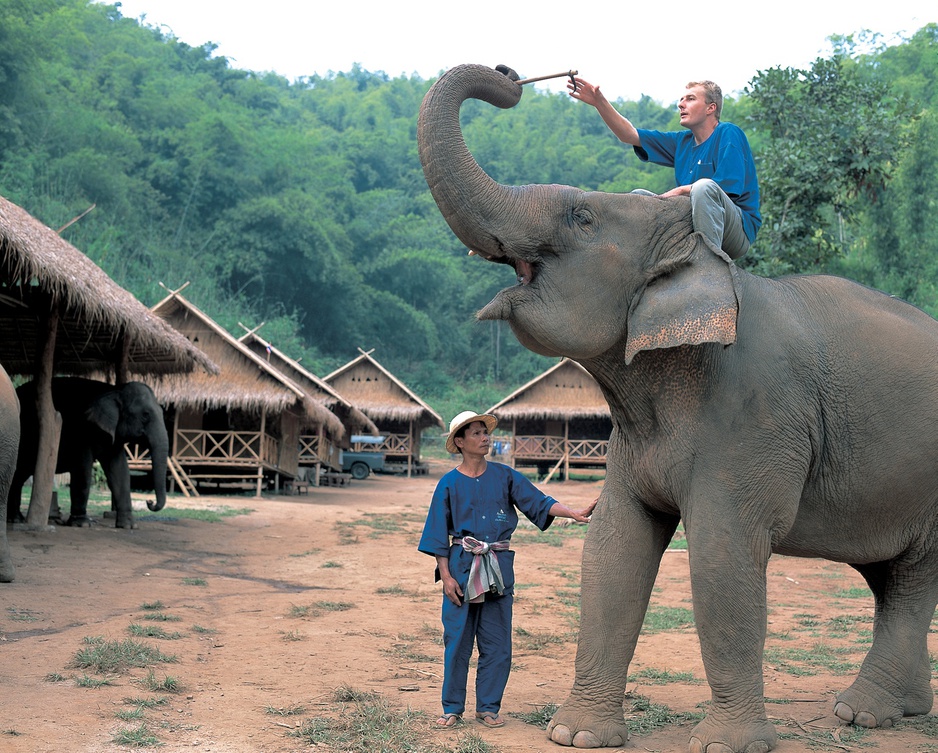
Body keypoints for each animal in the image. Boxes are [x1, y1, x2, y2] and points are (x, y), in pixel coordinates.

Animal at [9, 376, 169, 528]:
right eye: (145, 415)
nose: (149, 501)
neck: (114, 390)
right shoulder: (82, 430)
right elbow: (83, 469)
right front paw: (82, 523)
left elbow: (120, 471)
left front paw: (129, 526)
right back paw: (15, 519)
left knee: (18, 476)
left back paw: (16, 518)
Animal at [418, 64, 938, 752]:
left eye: (583, 216)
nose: (508, 78)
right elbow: (613, 545)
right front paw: (575, 735)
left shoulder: (754, 417)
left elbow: (722, 553)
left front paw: (726, 745)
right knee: (892, 575)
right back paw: (901, 709)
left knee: (912, 579)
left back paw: (862, 713)